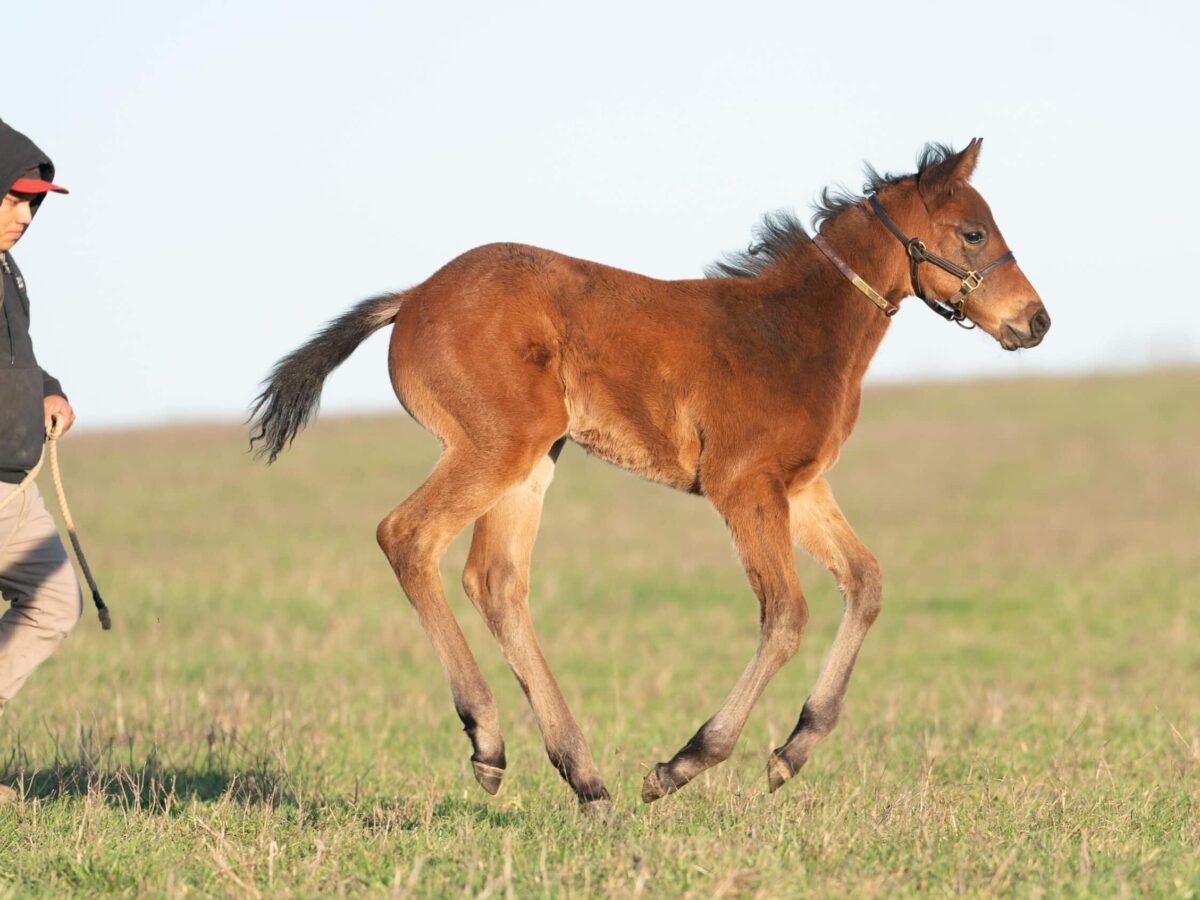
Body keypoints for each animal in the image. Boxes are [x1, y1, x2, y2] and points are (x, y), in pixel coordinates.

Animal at [253, 141, 1051, 811]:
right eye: (973, 233)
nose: (1036, 321)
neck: (791, 331)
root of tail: (414, 297)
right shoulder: (743, 485)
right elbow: (787, 614)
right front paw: (683, 763)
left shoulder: (799, 486)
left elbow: (866, 582)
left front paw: (793, 751)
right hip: (497, 446)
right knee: (408, 536)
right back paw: (488, 739)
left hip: (533, 460)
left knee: (496, 581)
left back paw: (583, 777)